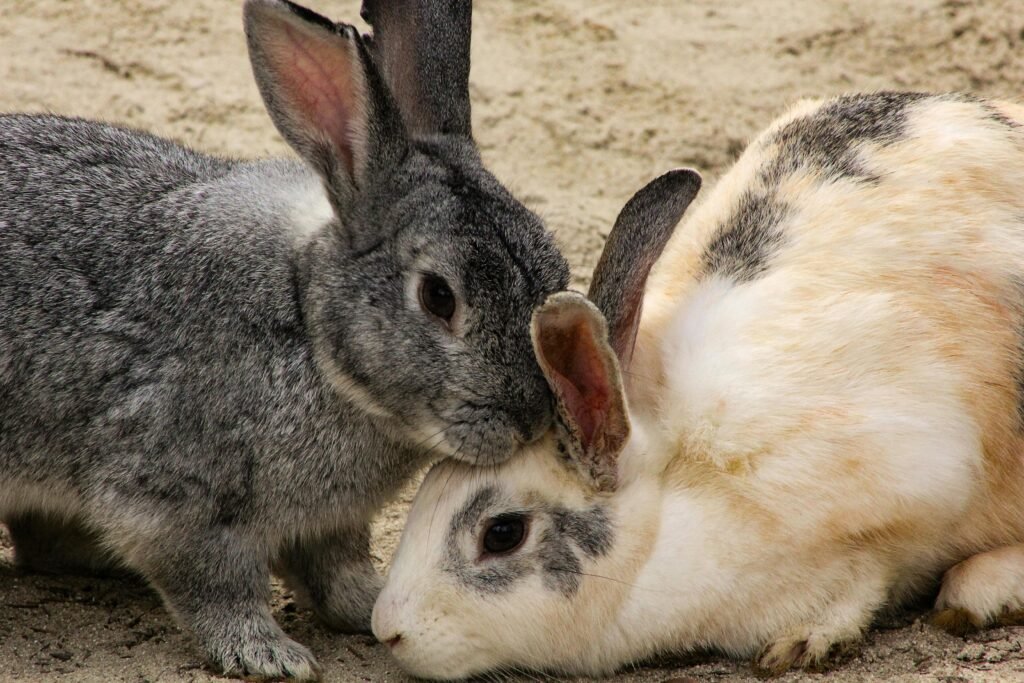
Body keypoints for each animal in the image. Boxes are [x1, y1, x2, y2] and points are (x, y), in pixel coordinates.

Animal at [0, 0, 569, 679]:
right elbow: (215, 585)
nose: (531, 418)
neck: (309, 327)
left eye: (556, 271)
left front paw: (370, 608)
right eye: (439, 297)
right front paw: (269, 653)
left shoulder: (330, 525)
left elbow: (335, 572)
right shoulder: (174, 499)